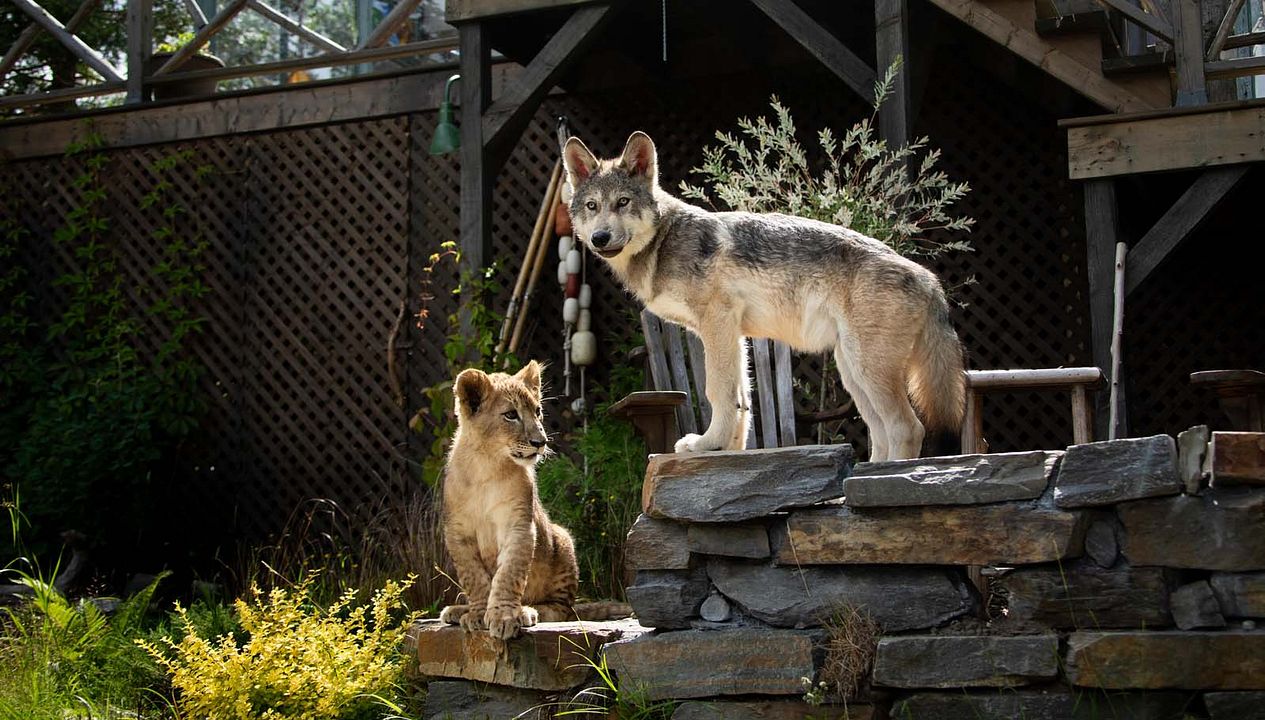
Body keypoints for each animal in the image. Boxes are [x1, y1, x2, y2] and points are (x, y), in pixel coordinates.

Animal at [561, 131, 966, 461]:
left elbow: (717, 391)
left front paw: (706, 445)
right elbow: (742, 400)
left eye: (623, 202)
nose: (599, 238)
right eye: (592, 206)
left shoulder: (717, 322)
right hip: (853, 372)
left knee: (907, 428)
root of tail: (931, 280)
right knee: (881, 433)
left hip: (867, 369)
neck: (663, 241)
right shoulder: (733, 333)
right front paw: (729, 452)